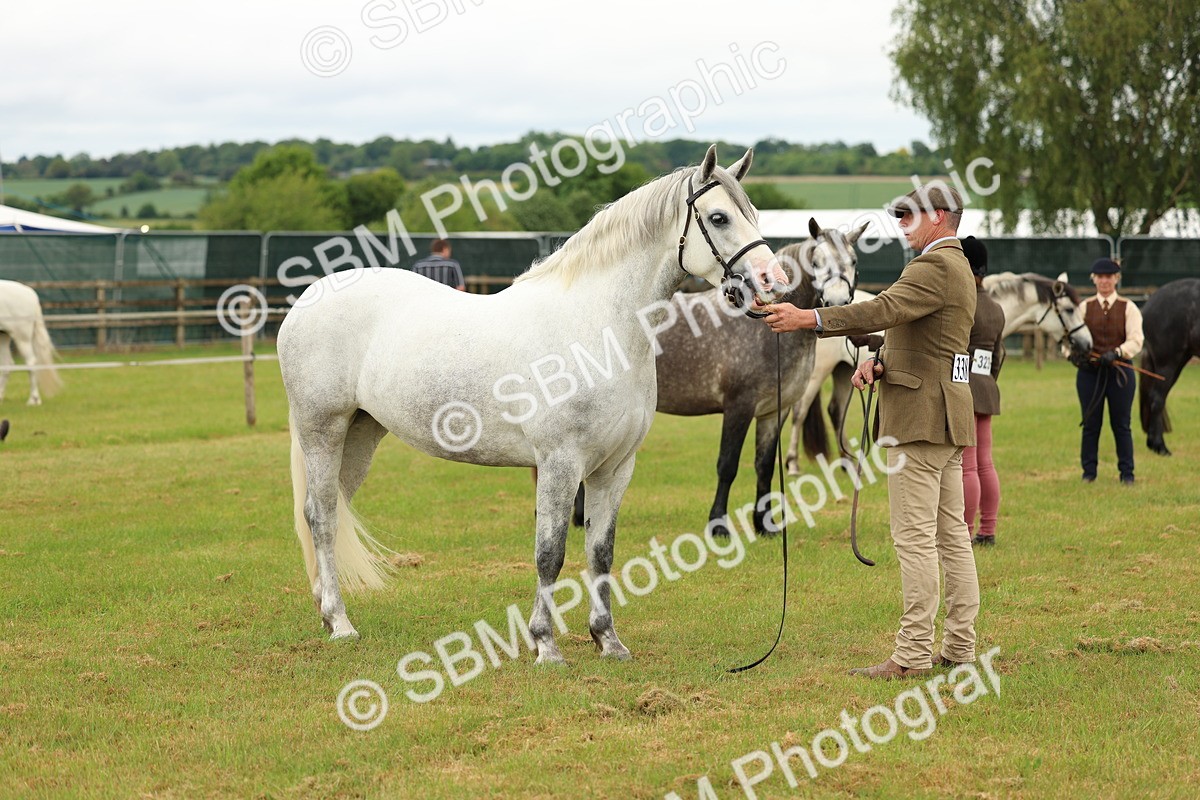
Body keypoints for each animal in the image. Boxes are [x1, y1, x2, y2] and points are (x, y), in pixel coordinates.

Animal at [278, 146, 786, 662]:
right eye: (719, 217)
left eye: (752, 213)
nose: (773, 281)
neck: (598, 328)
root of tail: (308, 300)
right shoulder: (560, 463)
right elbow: (551, 552)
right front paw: (545, 645)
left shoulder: (615, 467)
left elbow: (601, 551)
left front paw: (607, 640)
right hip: (323, 430)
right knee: (321, 517)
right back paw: (340, 623)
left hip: (361, 434)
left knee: (333, 513)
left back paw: (327, 611)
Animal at [651, 219, 865, 536]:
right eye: (816, 262)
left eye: (853, 262)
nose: (836, 301)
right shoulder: (739, 407)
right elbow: (727, 465)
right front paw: (718, 526)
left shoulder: (775, 411)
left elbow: (764, 465)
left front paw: (765, 524)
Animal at [786, 271, 1094, 467]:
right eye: (1069, 310)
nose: (1086, 344)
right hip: (818, 373)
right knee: (799, 413)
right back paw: (792, 464)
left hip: (841, 371)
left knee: (835, 411)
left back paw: (847, 462)